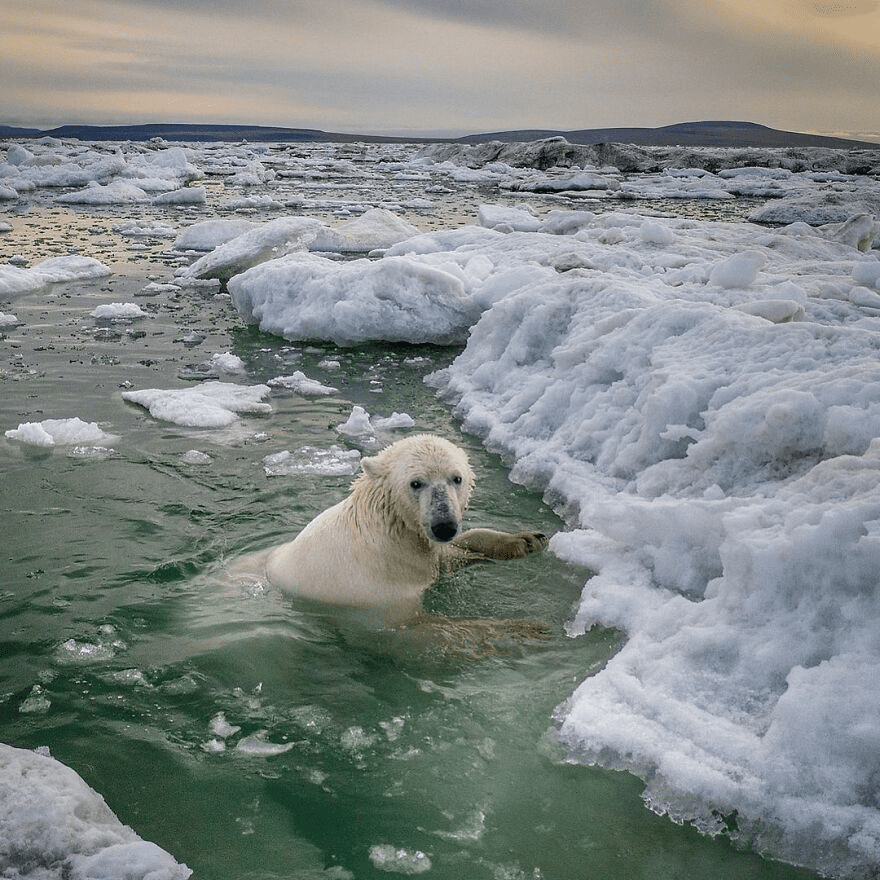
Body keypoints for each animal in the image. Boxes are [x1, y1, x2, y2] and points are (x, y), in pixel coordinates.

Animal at [248, 434, 548, 624]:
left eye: (457, 478)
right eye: (416, 483)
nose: (444, 526)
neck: (387, 532)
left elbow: (448, 557)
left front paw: (526, 539)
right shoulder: (376, 590)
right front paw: (524, 629)